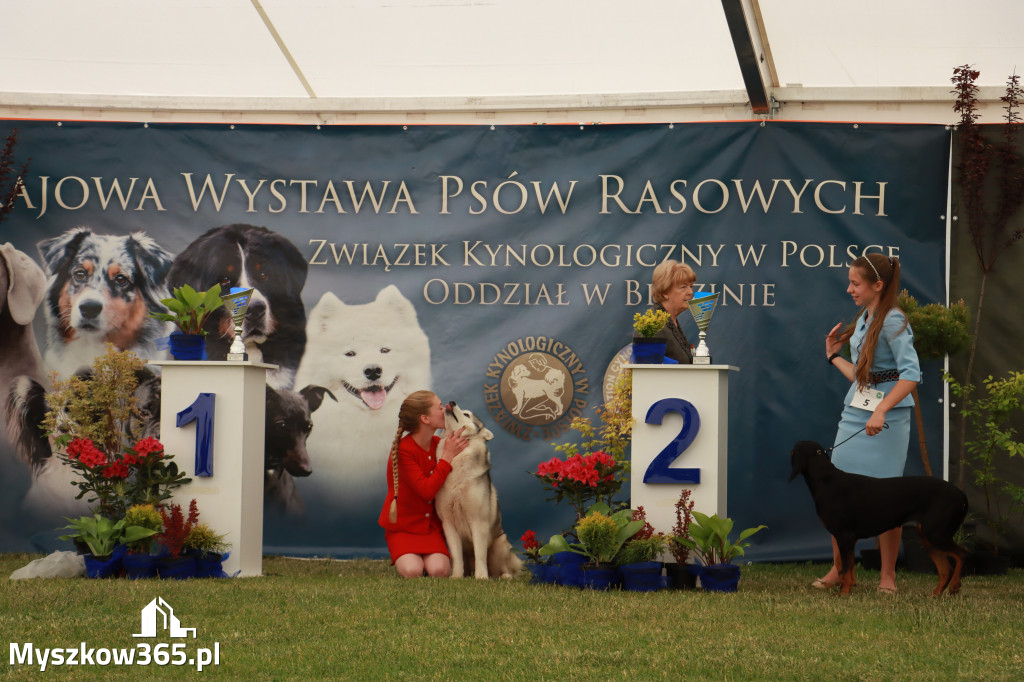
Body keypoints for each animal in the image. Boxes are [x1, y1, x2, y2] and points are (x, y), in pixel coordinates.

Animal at [436, 401, 524, 577]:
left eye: (467, 414)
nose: (452, 402)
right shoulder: (448, 524)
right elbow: (457, 557)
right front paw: (456, 577)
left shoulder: (479, 522)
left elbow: (480, 555)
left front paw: (482, 577)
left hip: (500, 544)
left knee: (505, 569)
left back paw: (505, 576)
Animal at [790, 438, 966, 593]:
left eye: (792, 452)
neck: (826, 480)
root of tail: (960, 493)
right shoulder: (847, 539)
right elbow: (848, 567)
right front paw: (848, 588)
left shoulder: (844, 536)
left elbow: (845, 569)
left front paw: (843, 593)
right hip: (927, 536)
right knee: (945, 569)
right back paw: (934, 595)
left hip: (936, 534)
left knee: (961, 554)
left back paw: (954, 586)